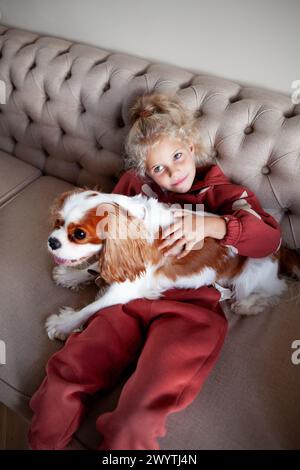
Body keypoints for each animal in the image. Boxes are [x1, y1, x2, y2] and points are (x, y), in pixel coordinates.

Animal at [45, 188, 298, 342]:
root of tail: (281, 248)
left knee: (272, 292)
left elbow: (90, 308)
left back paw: (246, 305)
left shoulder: (127, 289)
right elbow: (95, 268)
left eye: (79, 234)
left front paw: (63, 324)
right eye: (58, 222)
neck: (132, 222)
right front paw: (71, 276)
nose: (52, 241)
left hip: (250, 276)